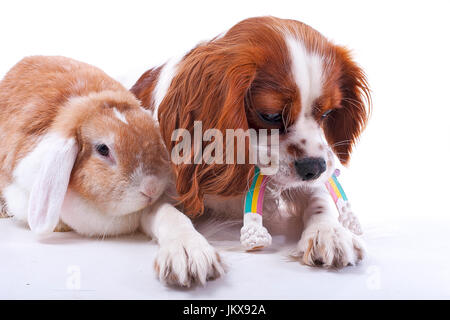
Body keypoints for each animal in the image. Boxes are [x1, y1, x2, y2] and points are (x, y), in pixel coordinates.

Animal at [132, 16, 370, 288]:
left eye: (327, 113)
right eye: (271, 116)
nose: (315, 167)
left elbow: (319, 197)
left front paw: (329, 231)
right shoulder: (149, 195)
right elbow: (169, 214)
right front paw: (187, 247)